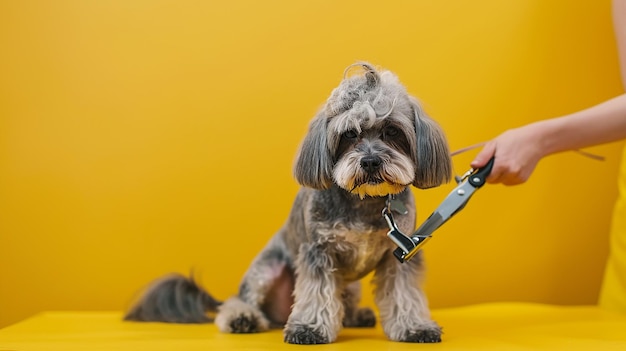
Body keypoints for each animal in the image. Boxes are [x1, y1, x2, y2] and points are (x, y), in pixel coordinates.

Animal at [124, 62, 450, 346]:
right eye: (349, 134)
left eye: (392, 131)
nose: (370, 161)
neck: (365, 202)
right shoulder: (318, 252)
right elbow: (317, 293)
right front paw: (310, 328)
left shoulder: (402, 256)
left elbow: (404, 293)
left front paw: (414, 326)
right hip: (266, 270)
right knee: (236, 302)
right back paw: (242, 318)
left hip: (349, 284)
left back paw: (357, 315)